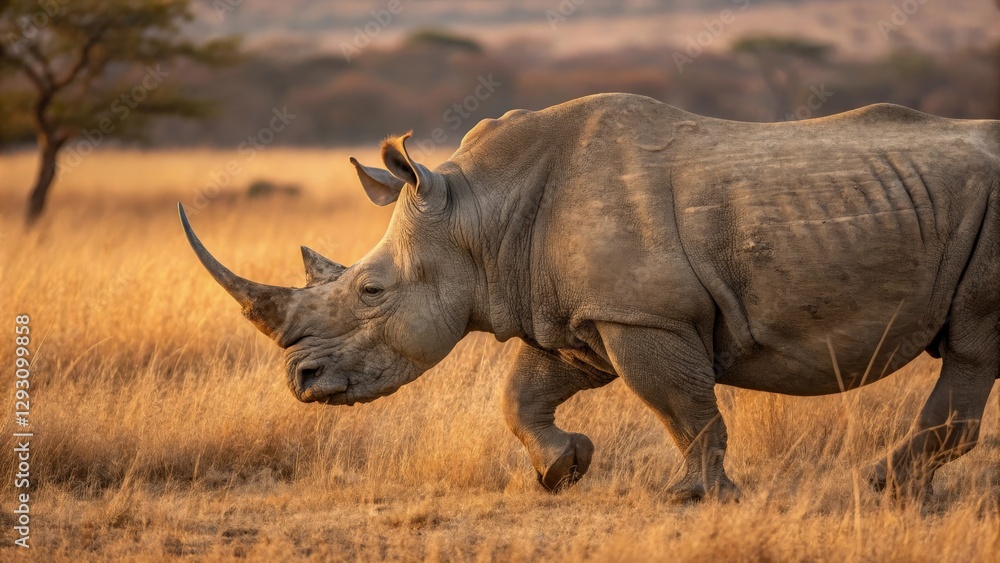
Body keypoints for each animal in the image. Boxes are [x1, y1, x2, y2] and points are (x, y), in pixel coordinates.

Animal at [179, 93, 999, 501]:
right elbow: (522, 394)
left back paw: (881, 485)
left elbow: (683, 408)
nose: (301, 381)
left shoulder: (645, 314)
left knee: (972, 345)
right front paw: (561, 470)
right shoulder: (580, 316)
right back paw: (893, 488)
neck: (480, 210)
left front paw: (695, 496)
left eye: (371, 290)